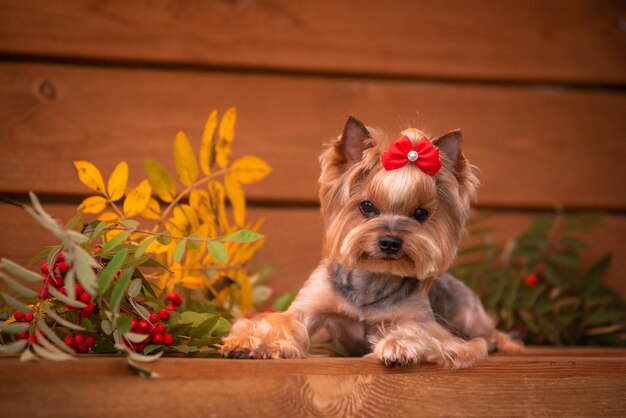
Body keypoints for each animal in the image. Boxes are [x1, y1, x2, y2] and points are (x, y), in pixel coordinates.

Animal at [222, 116, 520, 368]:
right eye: (367, 207)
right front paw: (246, 342)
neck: (372, 279)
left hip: (469, 310)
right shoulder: (310, 305)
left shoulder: (426, 323)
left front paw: (398, 346)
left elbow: (422, 332)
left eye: (420, 213)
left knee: (486, 330)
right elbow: (281, 322)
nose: (390, 242)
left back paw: (502, 343)